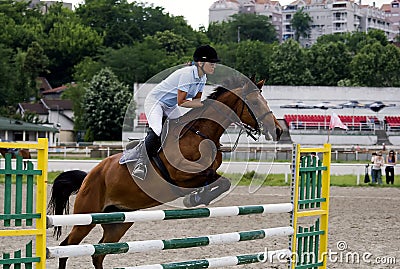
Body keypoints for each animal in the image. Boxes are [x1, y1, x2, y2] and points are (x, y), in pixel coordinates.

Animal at [47, 77, 284, 268]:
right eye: (255, 103)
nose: (278, 130)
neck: (200, 134)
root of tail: (88, 176)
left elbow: (221, 181)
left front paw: (198, 198)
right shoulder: (179, 176)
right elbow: (207, 177)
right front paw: (194, 198)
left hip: (118, 222)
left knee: (98, 253)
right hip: (86, 217)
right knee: (66, 247)